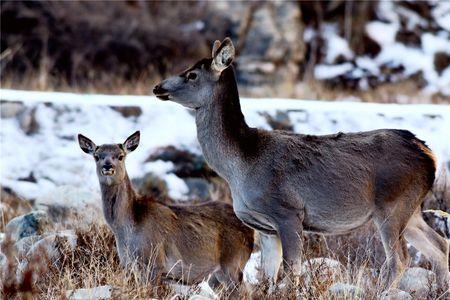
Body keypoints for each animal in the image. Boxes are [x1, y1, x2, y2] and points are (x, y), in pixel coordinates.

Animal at [77, 131, 253, 288]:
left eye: (120, 156)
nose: (108, 166)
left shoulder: (154, 262)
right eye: (97, 156)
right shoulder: (131, 265)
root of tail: (250, 230)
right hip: (219, 275)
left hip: (233, 263)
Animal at [153, 37, 448, 290]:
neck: (241, 164)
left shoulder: (288, 212)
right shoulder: (265, 227)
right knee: (440, 247)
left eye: (192, 74)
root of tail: (430, 154)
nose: (158, 87)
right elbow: (269, 276)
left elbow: (291, 269)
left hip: (391, 205)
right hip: (412, 209)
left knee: (400, 259)